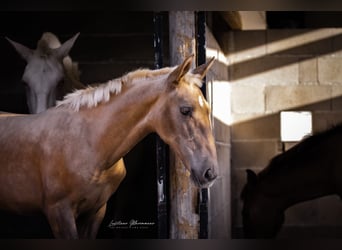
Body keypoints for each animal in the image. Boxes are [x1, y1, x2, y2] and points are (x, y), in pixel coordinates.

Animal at [0, 54, 218, 238]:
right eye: (185, 110)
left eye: (208, 109)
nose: (210, 173)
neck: (88, 143)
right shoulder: (59, 213)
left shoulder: (95, 211)